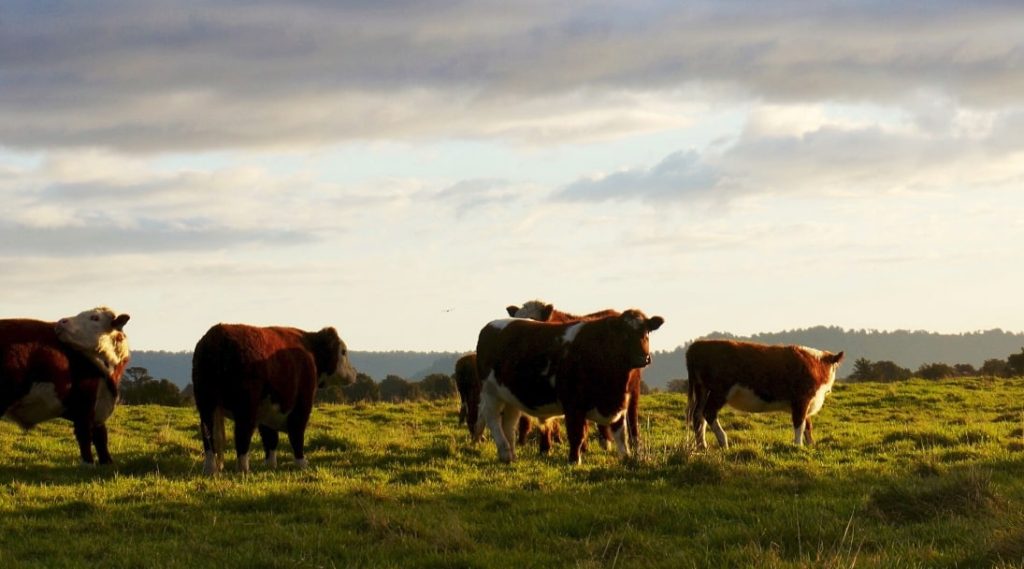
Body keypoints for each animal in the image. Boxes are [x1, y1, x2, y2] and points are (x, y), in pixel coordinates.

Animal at [0, 307, 131, 465]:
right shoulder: (84, 405)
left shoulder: (98, 410)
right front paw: (88, 463)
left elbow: (101, 438)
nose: (61, 321)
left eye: (95, 318)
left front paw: (107, 462)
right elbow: (85, 436)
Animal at [192, 323, 358, 475]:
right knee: (242, 434)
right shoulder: (302, 405)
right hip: (245, 406)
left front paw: (270, 464)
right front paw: (301, 463)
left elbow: (270, 438)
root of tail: (218, 334)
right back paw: (243, 469)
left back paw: (210, 469)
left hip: (206, 404)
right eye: (343, 352)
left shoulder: (267, 410)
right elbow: (296, 434)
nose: (354, 373)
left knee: (209, 437)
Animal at [475, 309, 664, 464]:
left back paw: (511, 454)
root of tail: (490, 326)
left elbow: (621, 434)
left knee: (508, 423)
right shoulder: (573, 404)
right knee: (492, 419)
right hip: (490, 392)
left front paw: (626, 457)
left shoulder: (619, 401)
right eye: (624, 334)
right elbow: (576, 434)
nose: (642, 358)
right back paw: (505, 452)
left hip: (510, 396)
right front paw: (574, 460)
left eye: (646, 332)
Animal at [685, 339, 844, 449]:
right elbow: (800, 424)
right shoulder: (801, 399)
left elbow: (808, 425)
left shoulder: (806, 403)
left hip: (702, 389)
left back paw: (702, 445)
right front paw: (798, 446)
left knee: (698, 415)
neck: (816, 364)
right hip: (720, 391)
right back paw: (723, 441)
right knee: (708, 413)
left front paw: (811, 445)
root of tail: (697, 345)